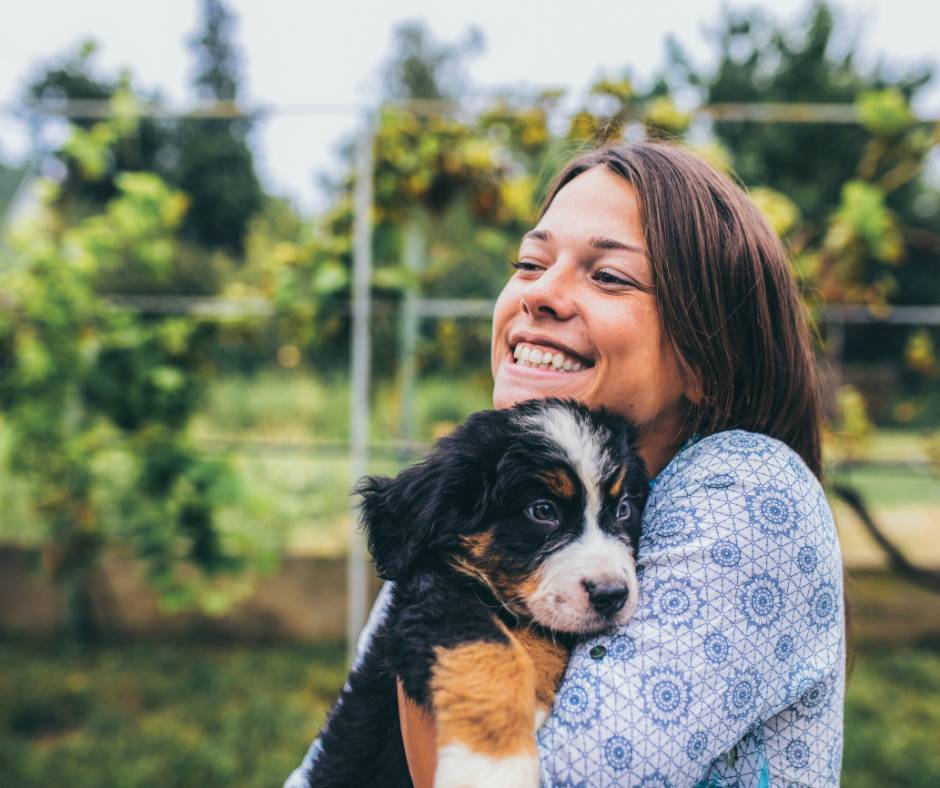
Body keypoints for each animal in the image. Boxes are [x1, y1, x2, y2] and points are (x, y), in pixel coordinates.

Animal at [312, 400, 648, 788]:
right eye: (542, 511)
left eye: (623, 508)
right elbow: (489, 651)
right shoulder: (436, 599)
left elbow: (542, 633)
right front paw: (491, 766)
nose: (612, 594)